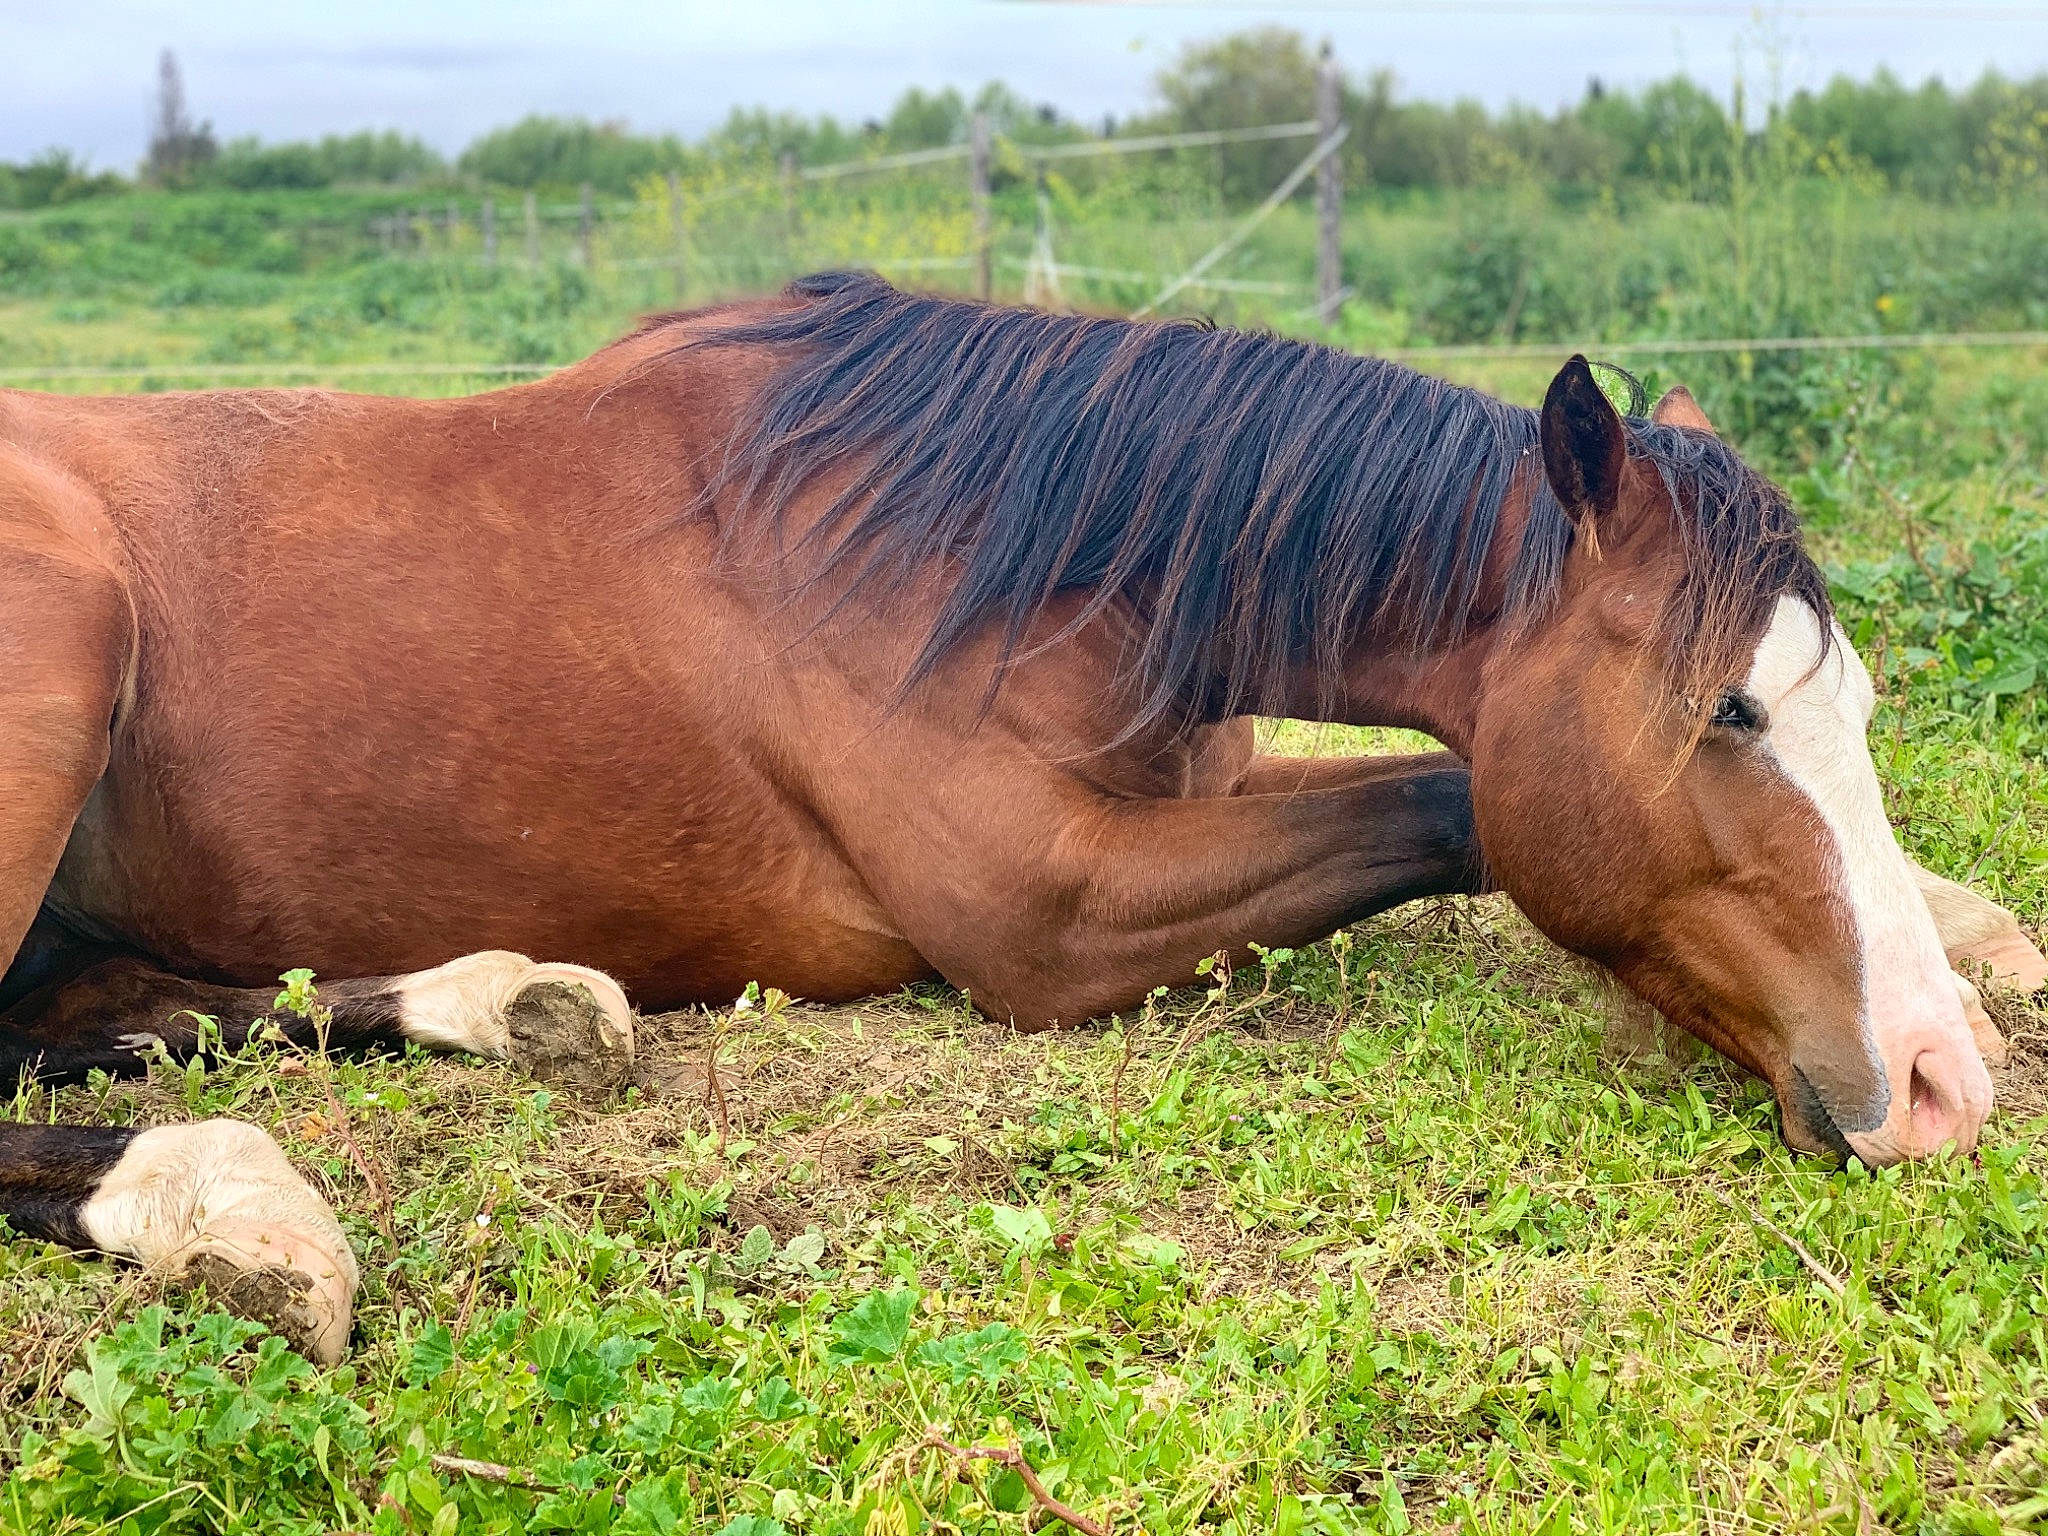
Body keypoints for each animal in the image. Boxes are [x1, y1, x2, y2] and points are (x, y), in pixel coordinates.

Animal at [1, 272, 2040, 1365]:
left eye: (1849, 711)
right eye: (1723, 712)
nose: (1933, 1090)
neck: (998, 551)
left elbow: (1447, 799)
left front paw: (1969, 940)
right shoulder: (1051, 924)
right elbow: (1454, 799)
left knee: (114, 1013)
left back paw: (510, 1004)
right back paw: (223, 1202)